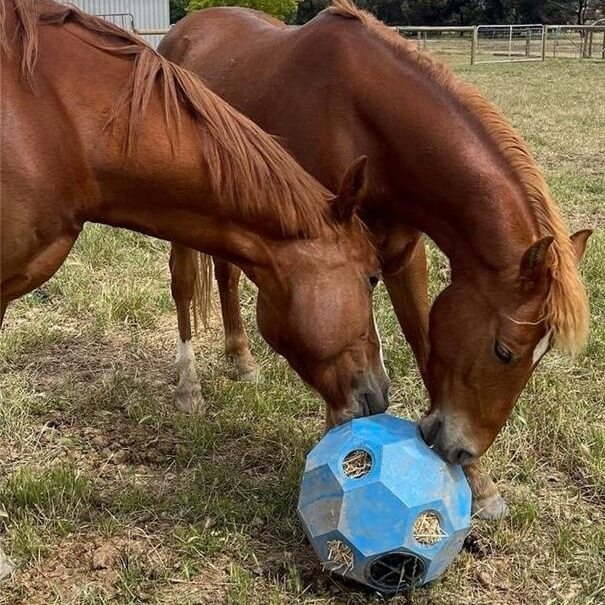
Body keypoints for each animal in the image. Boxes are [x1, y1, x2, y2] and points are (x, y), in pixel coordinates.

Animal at [159, 1, 588, 520]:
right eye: (504, 351)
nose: (461, 448)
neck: (368, 127)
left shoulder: (403, 256)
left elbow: (425, 349)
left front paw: (480, 485)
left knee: (227, 275)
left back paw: (241, 360)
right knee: (184, 284)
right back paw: (188, 386)